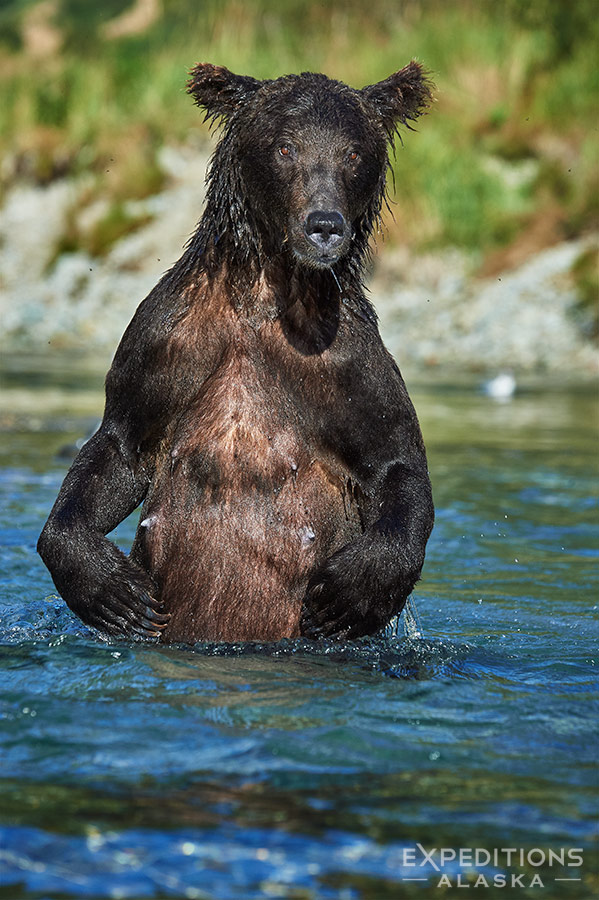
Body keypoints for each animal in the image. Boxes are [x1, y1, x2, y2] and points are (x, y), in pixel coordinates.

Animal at [38, 61, 435, 644]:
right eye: (286, 147)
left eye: (353, 153)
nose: (324, 224)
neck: (268, 293)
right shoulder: (167, 340)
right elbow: (119, 445)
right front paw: (116, 592)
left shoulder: (347, 361)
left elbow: (395, 462)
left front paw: (348, 594)